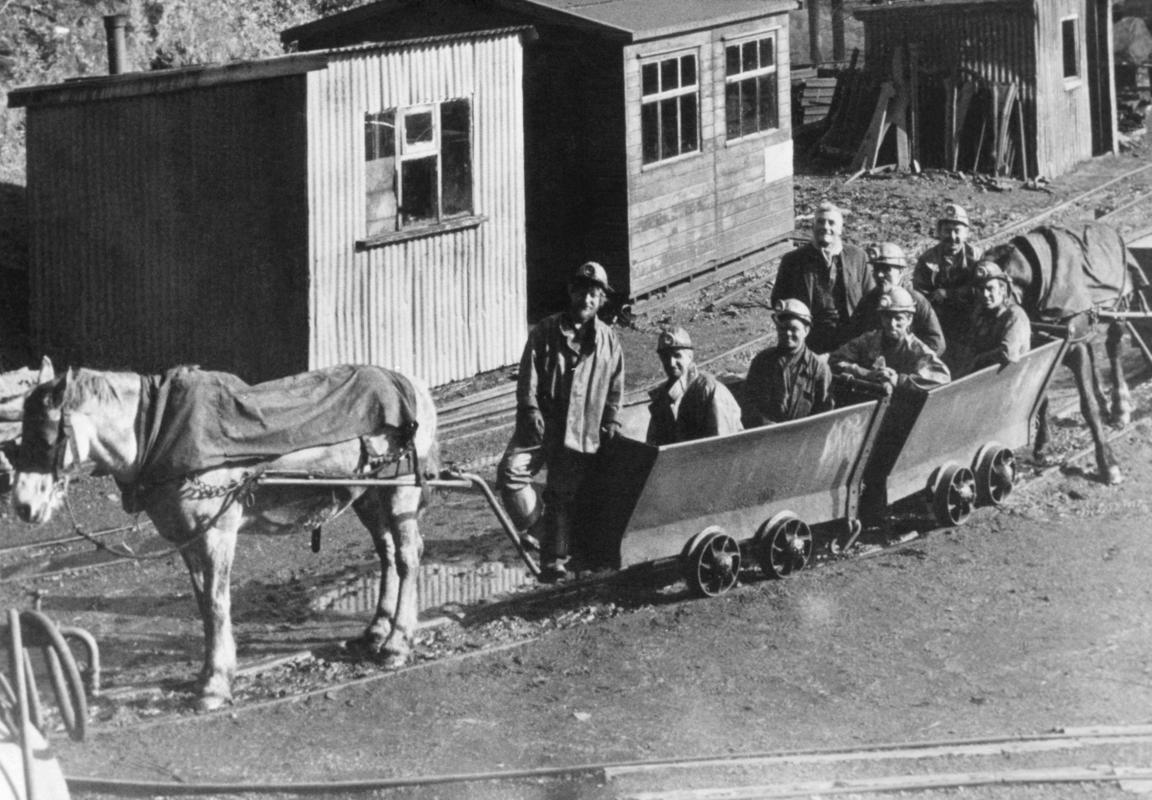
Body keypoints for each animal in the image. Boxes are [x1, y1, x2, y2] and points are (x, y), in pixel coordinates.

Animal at [11, 364, 439, 711]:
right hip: (368, 493)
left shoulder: (216, 532)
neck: (158, 431)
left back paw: (397, 643)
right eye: (16, 438)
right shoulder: (187, 537)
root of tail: (411, 384)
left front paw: (215, 686)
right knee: (386, 553)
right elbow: (203, 604)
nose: (23, 506)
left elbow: (217, 604)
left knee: (408, 556)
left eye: (45, 438)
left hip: (400, 489)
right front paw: (210, 673)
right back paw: (376, 631)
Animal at [984, 222, 1151, 485]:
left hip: (1118, 307)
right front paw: (1042, 445)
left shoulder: (1073, 347)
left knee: (1113, 347)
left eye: (987, 288)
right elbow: (1041, 399)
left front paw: (1107, 462)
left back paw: (1120, 408)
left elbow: (1087, 405)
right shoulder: (1044, 349)